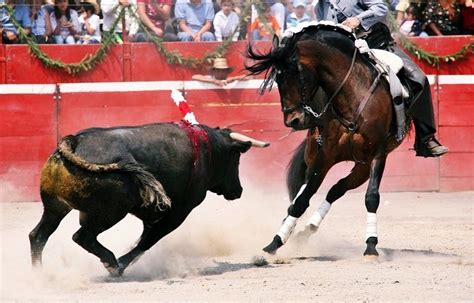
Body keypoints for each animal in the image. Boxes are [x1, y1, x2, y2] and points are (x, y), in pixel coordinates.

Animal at [28, 122, 266, 276]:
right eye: (236, 158)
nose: (238, 190)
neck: (206, 149)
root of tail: (73, 141)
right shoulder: (180, 210)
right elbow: (150, 240)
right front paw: (121, 263)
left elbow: (145, 236)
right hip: (111, 212)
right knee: (82, 237)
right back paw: (112, 263)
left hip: (55, 207)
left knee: (38, 236)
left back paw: (39, 275)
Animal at [244, 23, 408, 258]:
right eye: (277, 79)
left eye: (295, 75)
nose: (293, 120)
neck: (353, 97)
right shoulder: (325, 155)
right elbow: (301, 200)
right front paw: (275, 242)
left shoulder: (378, 153)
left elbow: (371, 197)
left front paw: (371, 245)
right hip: (316, 153)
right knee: (308, 191)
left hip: (362, 166)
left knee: (337, 189)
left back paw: (308, 228)